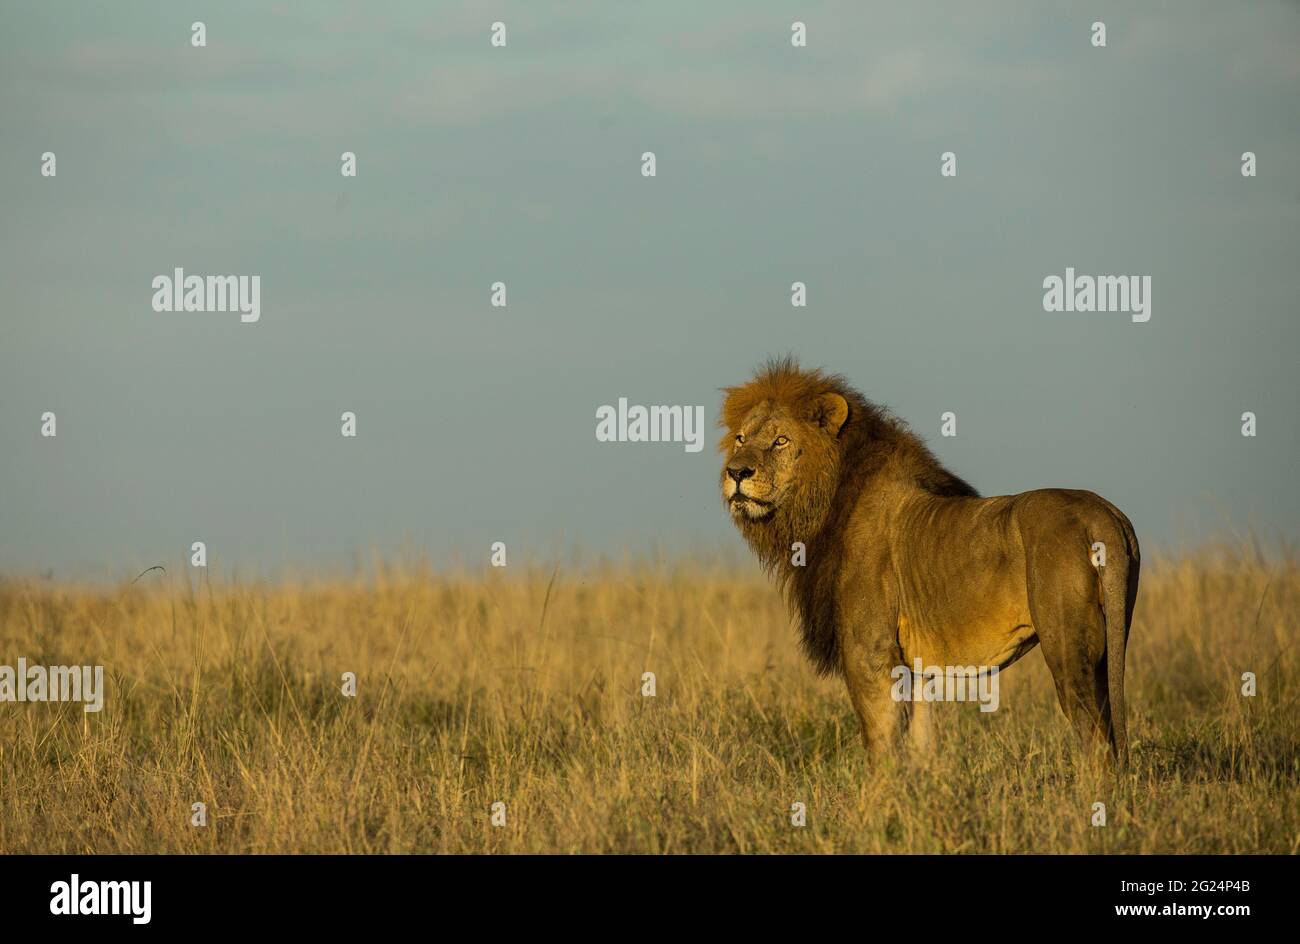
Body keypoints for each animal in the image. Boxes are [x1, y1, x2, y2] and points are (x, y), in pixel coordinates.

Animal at [722, 358, 1138, 764]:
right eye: (741, 439)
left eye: (780, 440)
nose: (737, 471)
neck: (823, 507)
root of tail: (1101, 513)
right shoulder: (914, 669)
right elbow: (921, 744)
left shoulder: (870, 654)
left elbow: (881, 744)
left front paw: (881, 788)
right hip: (1109, 639)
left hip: (1067, 647)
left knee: (1095, 736)